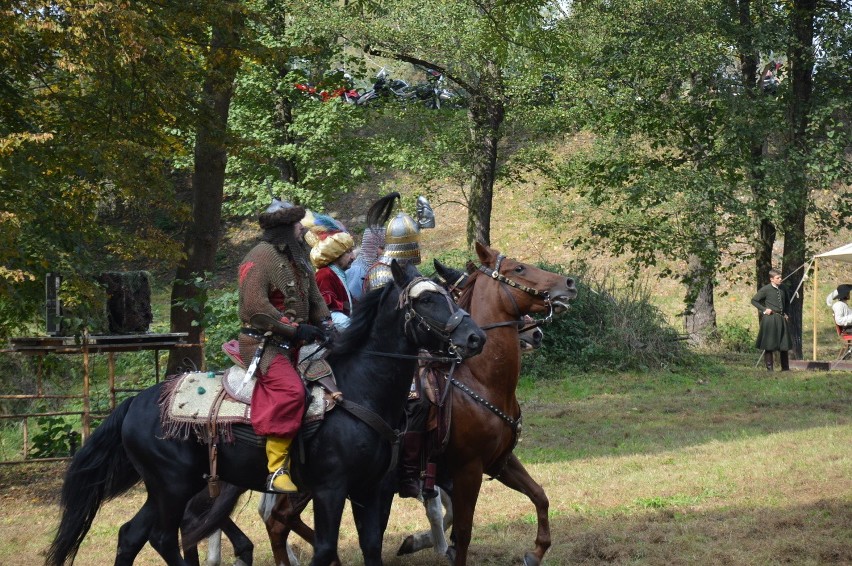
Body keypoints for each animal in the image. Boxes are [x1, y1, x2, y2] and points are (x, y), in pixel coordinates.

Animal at [48, 262, 486, 566]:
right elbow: (324, 549)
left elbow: (372, 548)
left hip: (168, 488)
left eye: (451, 294)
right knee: (163, 536)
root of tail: (134, 404)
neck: (360, 389)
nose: (475, 337)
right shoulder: (330, 490)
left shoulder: (371, 490)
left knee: (131, 536)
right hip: (172, 486)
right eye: (426, 300)